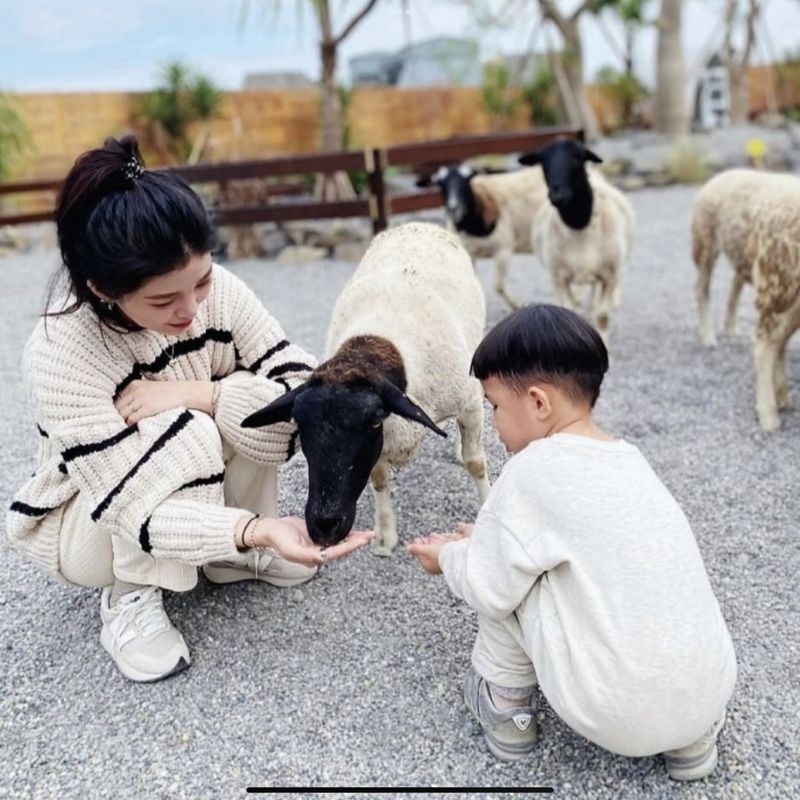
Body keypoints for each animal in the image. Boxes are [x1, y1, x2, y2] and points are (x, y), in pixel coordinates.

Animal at [692, 167, 796, 346]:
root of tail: (720, 175)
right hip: (706, 245)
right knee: (701, 289)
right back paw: (707, 337)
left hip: (743, 254)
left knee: (735, 284)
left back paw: (730, 328)